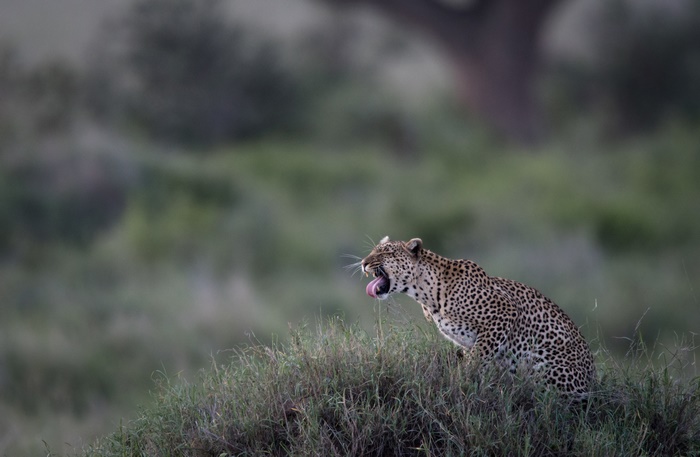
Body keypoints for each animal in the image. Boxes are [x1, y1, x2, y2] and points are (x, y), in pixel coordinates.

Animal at [360, 236, 595, 398]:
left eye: (384, 254)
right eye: (372, 251)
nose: (363, 262)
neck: (427, 294)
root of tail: (593, 385)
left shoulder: (503, 313)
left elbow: (476, 359)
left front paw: (461, 383)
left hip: (546, 369)